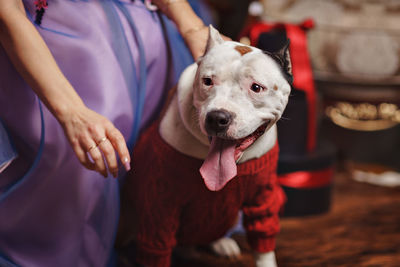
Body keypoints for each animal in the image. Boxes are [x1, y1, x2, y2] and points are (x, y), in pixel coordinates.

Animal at [117, 25, 292, 267]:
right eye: (207, 81)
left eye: (256, 87)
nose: (217, 118)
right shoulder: (160, 207)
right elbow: (156, 249)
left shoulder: (261, 198)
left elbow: (263, 244)